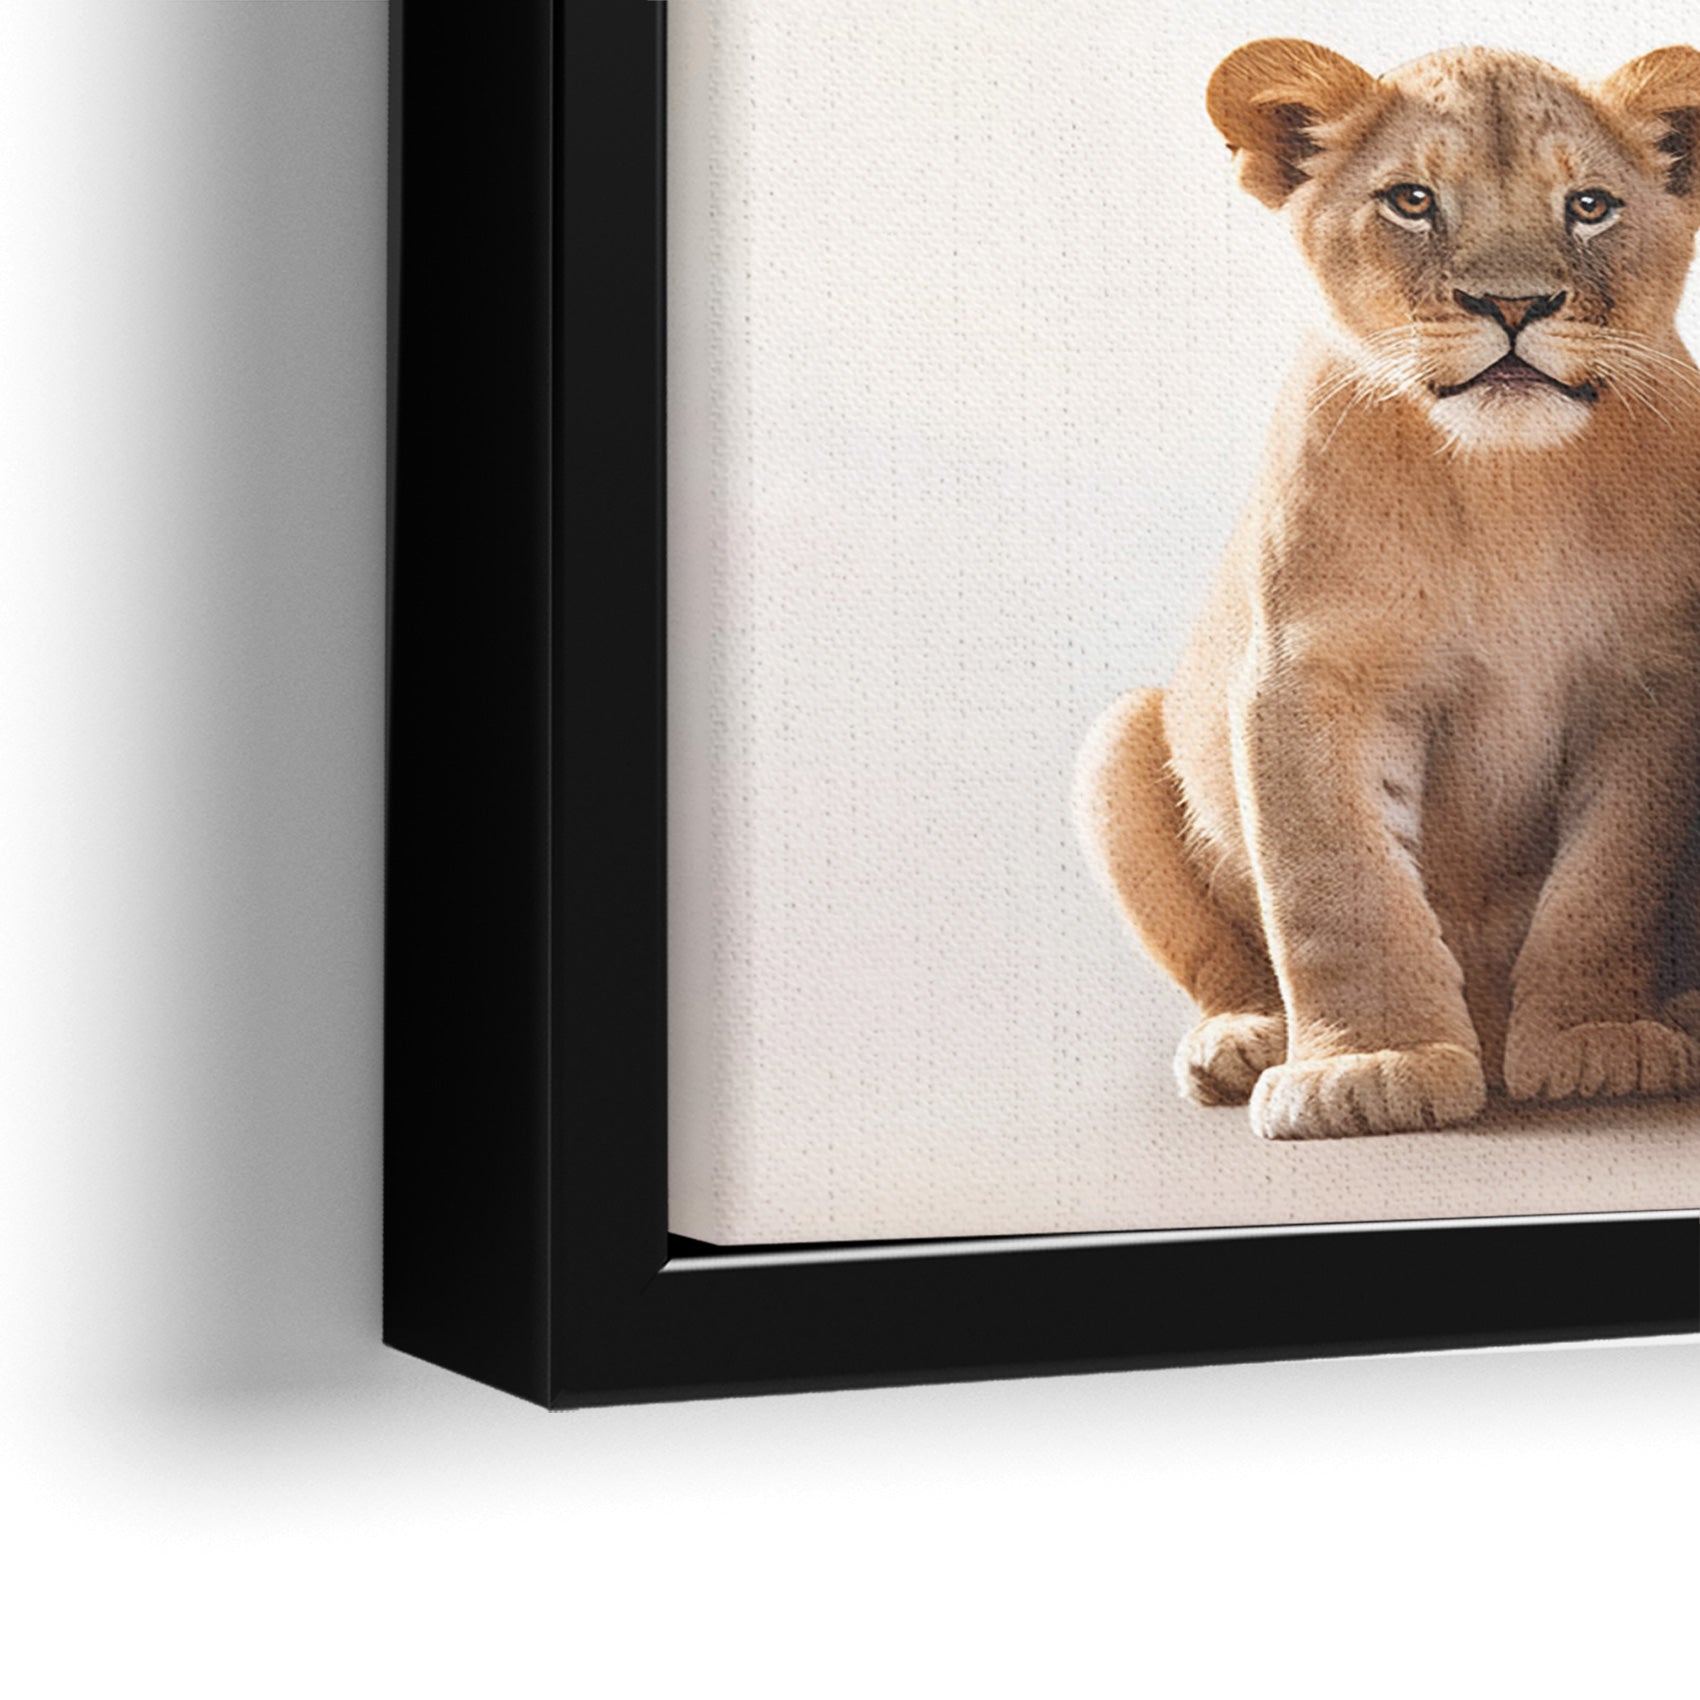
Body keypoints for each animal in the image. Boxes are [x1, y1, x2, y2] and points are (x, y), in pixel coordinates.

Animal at [1075, 41, 1700, 1139]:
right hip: (1116, 742)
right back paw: (1242, 1042)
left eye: (1588, 205)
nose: (1511, 306)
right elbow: (1339, 883)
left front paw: (1600, 1041)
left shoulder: (1651, 681)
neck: (1504, 483)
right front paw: (1368, 1067)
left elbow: (1609, 882)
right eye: (1412, 200)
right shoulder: (1311, 672)